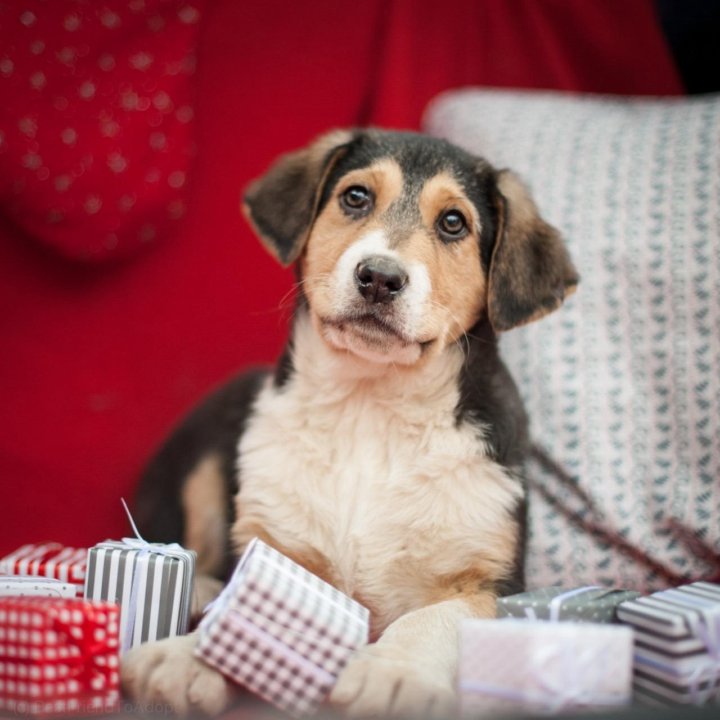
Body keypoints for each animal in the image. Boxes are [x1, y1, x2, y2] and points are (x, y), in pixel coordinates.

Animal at [121, 128, 576, 716]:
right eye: (355, 197)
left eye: (454, 222)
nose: (379, 277)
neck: (370, 407)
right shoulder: (274, 547)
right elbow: (245, 601)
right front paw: (185, 657)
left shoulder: (495, 582)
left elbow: (435, 618)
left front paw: (393, 672)